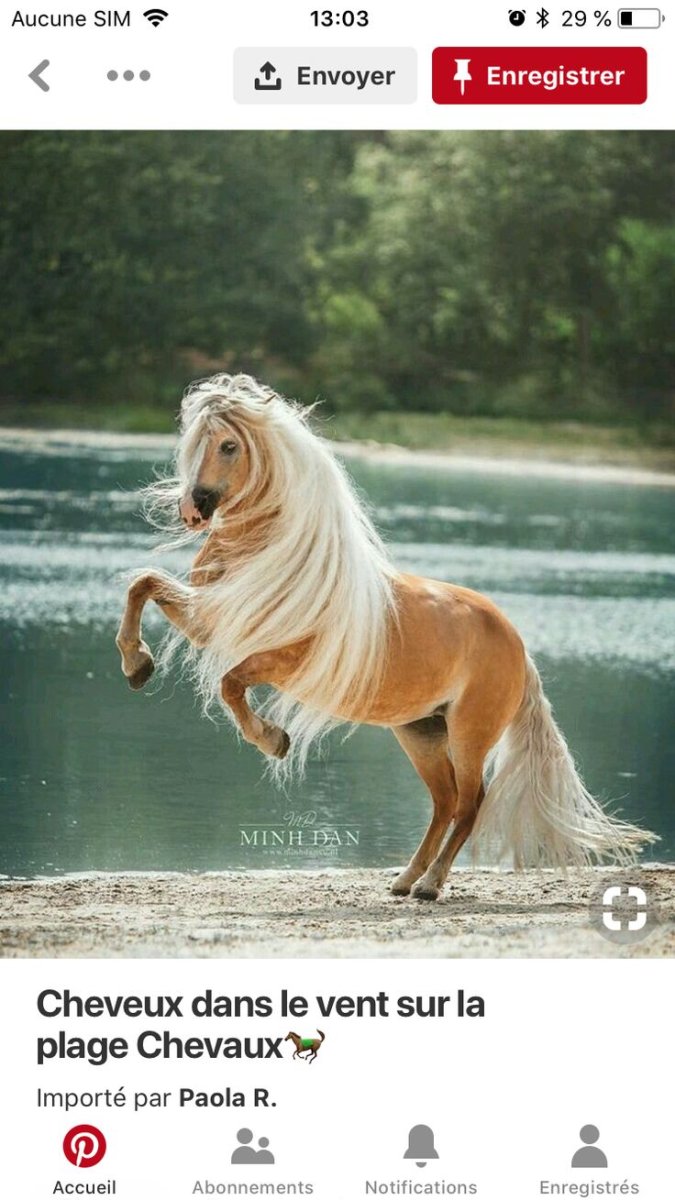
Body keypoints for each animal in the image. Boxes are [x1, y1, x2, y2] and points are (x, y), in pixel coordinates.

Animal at [116, 373, 656, 901]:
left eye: (228, 445)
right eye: (192, 443)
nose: (193, 509)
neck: (292, 565)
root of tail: (519, 648)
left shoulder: (283, 659)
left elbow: (229, 684)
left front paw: (273, 741)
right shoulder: (210, 620)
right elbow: (143, 583)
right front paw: (137, 665)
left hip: (468, 735)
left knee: (470, 803)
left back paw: (431, 886)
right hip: (421, 732)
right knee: (444, 802)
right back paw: (404, 880)